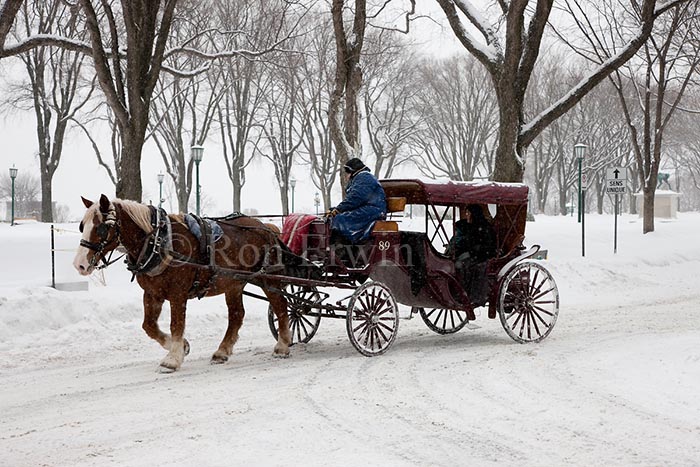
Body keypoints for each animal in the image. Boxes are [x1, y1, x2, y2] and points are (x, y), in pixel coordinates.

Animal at [71, 194, 290, 372]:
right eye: (82, 225)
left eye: (101, 227)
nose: (79, 264)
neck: (159, 242)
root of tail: (267, 228)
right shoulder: (152, 293)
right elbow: (148, 325)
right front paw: (182, 347)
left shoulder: (178, 292)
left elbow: (176, 324)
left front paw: (172, 359)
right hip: (234, 283)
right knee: (237, 315)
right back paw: (222, 351)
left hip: (268, 278)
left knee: (280, 305)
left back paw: (283, 345)